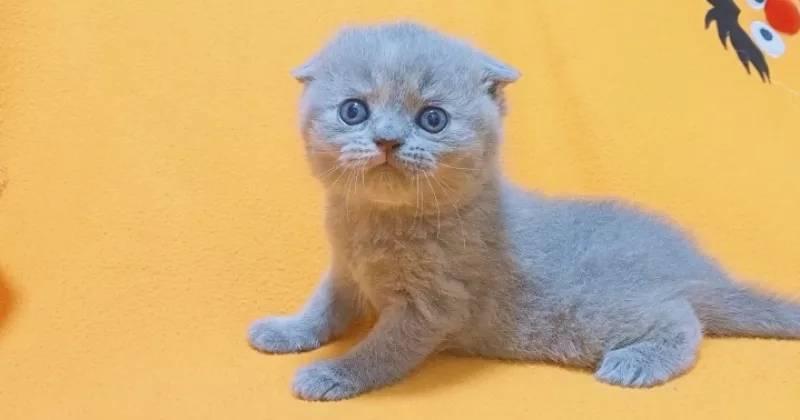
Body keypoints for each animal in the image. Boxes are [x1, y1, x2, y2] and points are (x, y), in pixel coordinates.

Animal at [248, 22, 800, 400]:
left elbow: (381, 349)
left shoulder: (433, 305)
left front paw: (333, 373)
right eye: (353, 111)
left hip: (591, 314)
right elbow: (324, 307)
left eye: (432, 119)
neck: (379, 223)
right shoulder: (345, 270)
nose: (387, 140)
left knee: (685, 322)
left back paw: (636, 363)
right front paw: (286, 330)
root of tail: (694, 267)